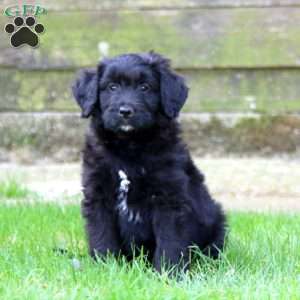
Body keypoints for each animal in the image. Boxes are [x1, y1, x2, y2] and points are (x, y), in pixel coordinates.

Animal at [72, 52, 225, 272]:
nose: (125, 111)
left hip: (217, 221)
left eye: (144, 87)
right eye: (112, 87)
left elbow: (170, 241)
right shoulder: (98, 196)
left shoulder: (169, 199)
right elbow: (102, 236)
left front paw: (169, 273)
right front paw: (105, 268)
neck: (129, 147)